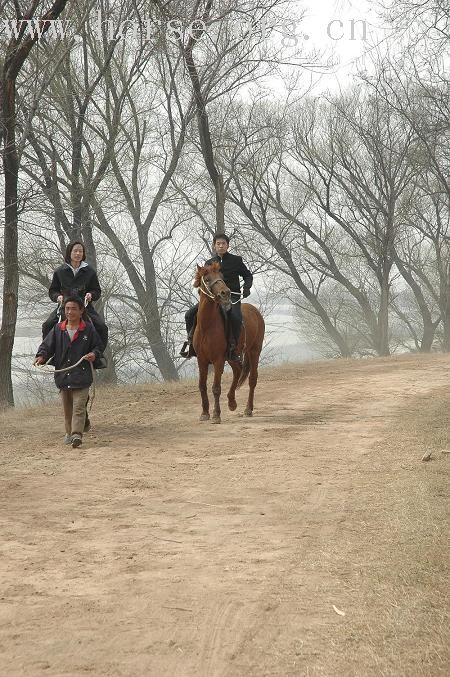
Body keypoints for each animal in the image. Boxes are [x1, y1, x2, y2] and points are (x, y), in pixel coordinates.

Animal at [192, 260, 264, 422]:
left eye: (221, 276)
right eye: (207, 279)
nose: (226, 293)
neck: (207, 326)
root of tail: (255, 311)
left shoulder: (218, 360)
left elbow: (216, 388)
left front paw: (216, 415)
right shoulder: (201, 360)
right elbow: (202, 385)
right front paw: (204, 413)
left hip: (254, 351)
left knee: (252, 379)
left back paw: (248, 409)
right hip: (232, 356)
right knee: (237, 371)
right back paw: (232, 402)